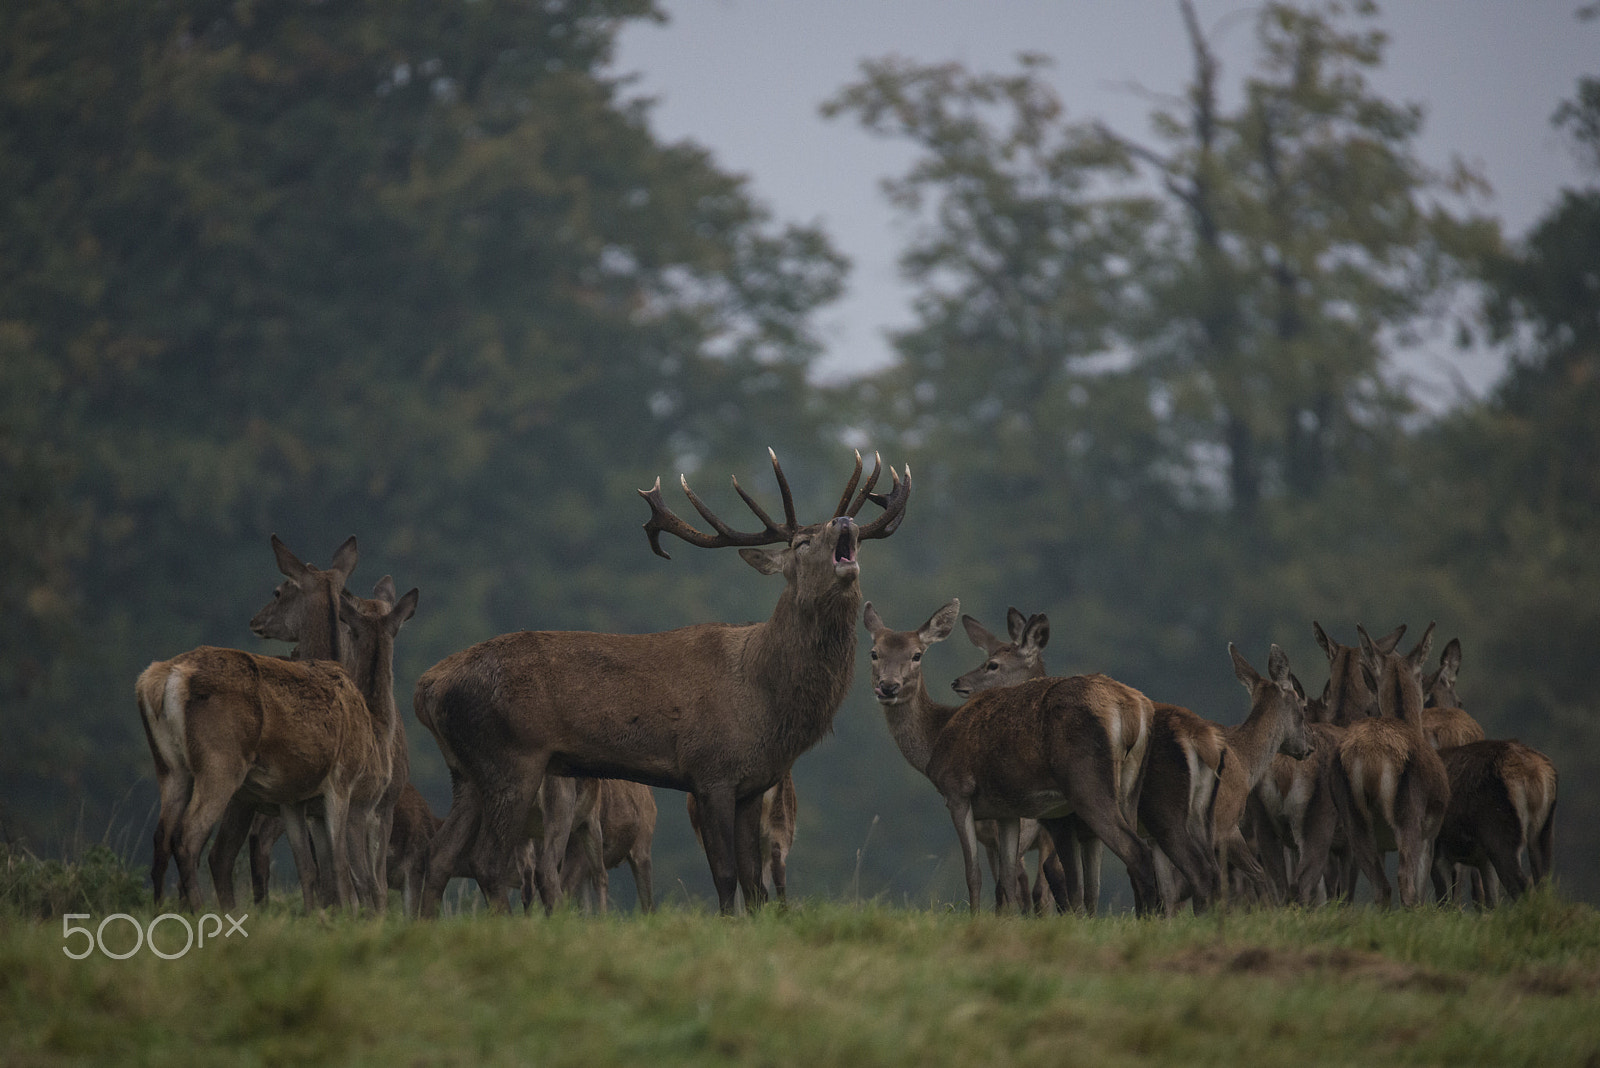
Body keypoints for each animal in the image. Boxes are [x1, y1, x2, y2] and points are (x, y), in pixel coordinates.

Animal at [416, 447, 915, 914]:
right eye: (801, 541)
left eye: (847, 530)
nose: (845, 520)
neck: (764, 697)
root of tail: (427, 686)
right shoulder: (710, 770)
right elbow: (726, 875)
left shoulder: (752, 783)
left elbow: (754, 882)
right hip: (511, 757)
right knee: (487, 860)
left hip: (466, 768)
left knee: (439, 856)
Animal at [864, 597, 1164, 914]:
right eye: (874, 653)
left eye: (917, 655)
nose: (888, 687)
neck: (938, 736)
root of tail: (1133, 708)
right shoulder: (1005, 810)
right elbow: (1007, 879)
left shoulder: (957, 791)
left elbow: (974, 873)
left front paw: (976, 917)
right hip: (1129, 789)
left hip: (1087, 783)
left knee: (1135, 853)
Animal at [1324, 620, 1452, 908]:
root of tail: (1371, 757)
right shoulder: (1430, 832)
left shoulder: (1382, 843)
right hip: (1409, 813)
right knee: (1405, 882)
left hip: (1353, 819)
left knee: (1380, 886)